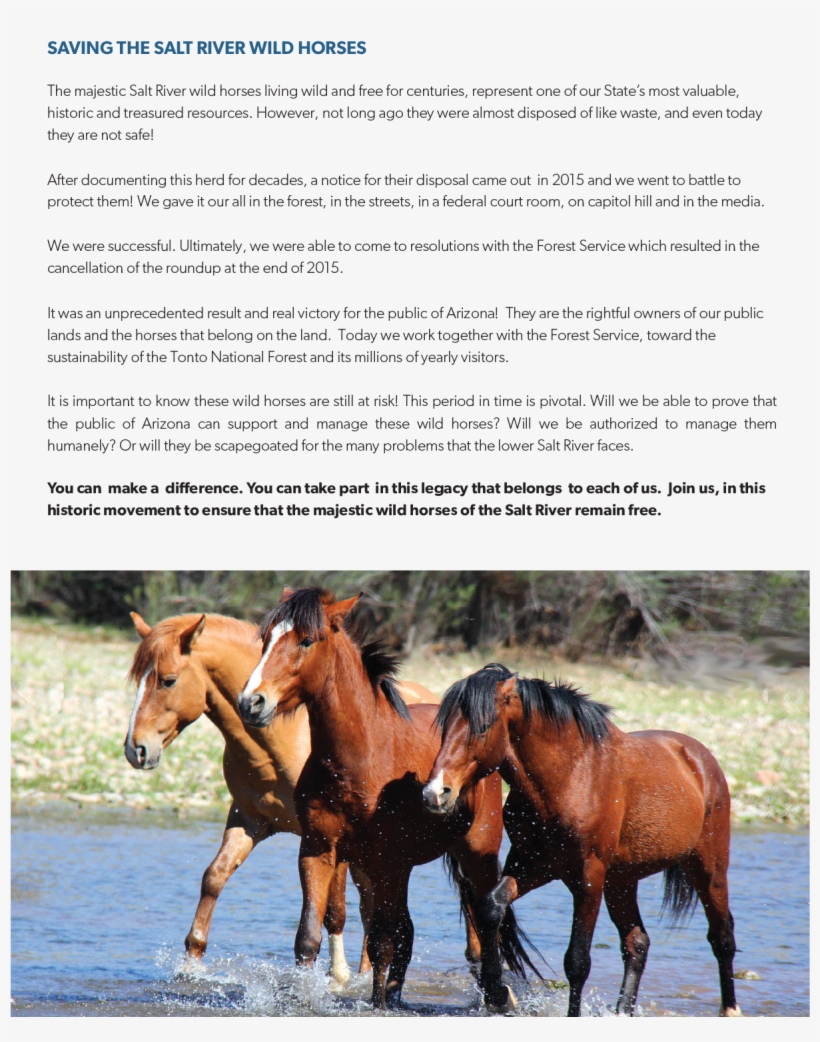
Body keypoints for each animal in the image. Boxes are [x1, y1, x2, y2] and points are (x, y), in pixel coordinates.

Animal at [123, 610, 439, 982]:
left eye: (168, 680)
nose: (136, 749)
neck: (276, 740)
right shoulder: (249, 820)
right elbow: (214, 878)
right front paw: (192, 961)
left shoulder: (328, 839)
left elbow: (334, 909)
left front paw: (338, 977)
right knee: (371, 904)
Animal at [236, 588, 533, 1010]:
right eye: (266, 640)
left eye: (307, 640)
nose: (251, 702)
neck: (358, 761)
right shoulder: (319, 851)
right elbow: (308, 937)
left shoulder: (386, 864)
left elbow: (380, 942)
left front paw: (376, 1004)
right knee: (410, 932)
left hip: (475, 855)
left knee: (480, 928)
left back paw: (495, 995)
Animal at [422, 663, 741, 1018]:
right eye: (445, 727)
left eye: (482, 726)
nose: (435, 793)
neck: (570, 775)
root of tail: (698, 758)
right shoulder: (532, 864)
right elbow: (491, 907)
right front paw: (496, 994)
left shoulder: (588, 876)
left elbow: (577, 960)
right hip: (622, 880)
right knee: (637, 943)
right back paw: (622, 1012)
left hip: (708, 868)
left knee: (722, 937)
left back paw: (730, 1009)